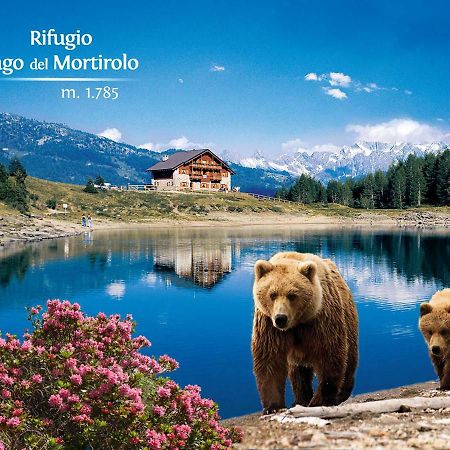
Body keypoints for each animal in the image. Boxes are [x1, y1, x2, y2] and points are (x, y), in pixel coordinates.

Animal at [250, 251, 358, 414]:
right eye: (272, 294)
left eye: (292, 295)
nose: (281, 318)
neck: (297, 323)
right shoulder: (269, 326)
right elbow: (270, 360)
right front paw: (273, 406)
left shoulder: (320, 320)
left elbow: (329, 355)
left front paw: (321, 400)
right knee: (298, 374)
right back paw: (301, 398)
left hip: (348, 322)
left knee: (349, 360)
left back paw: (342, 393)